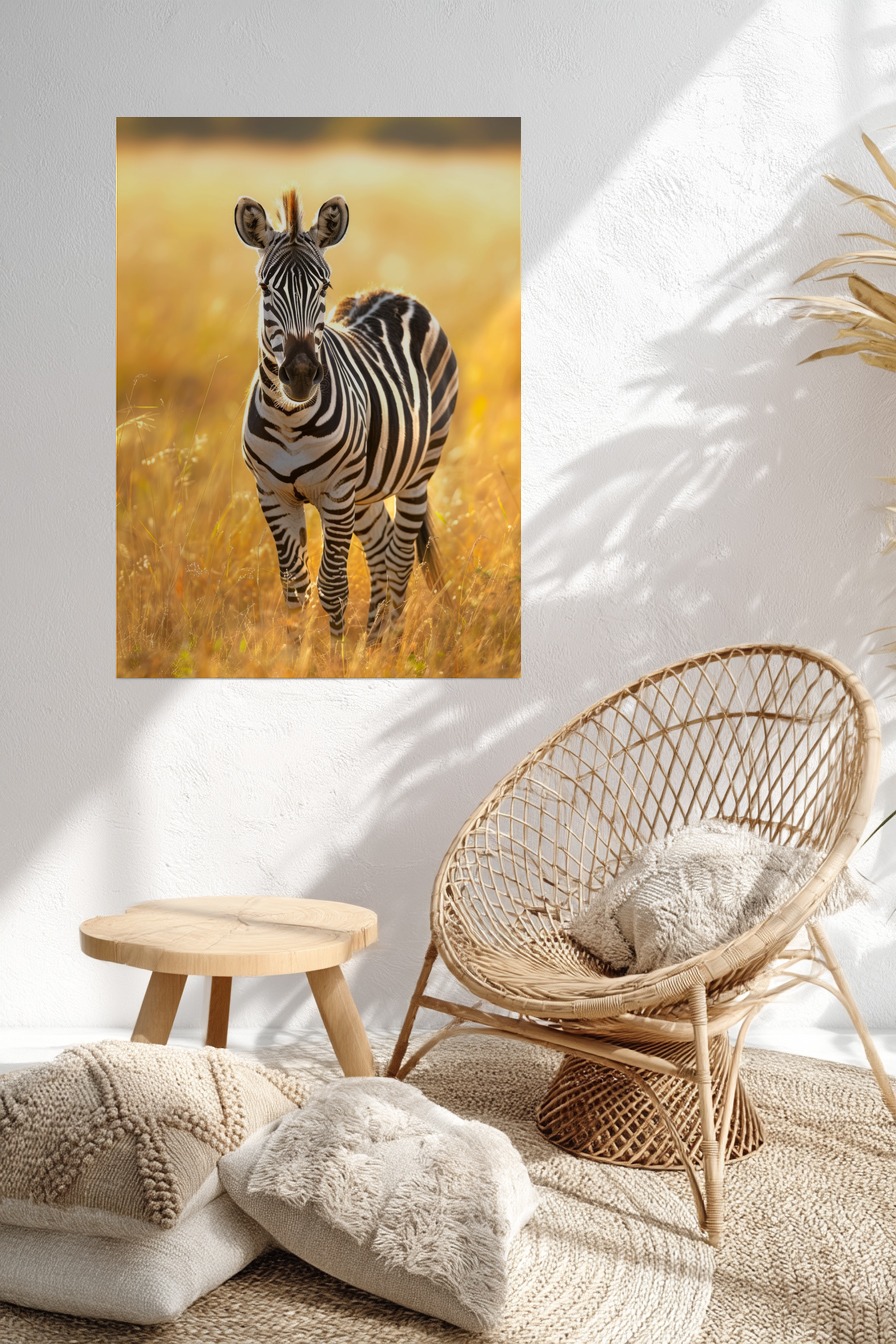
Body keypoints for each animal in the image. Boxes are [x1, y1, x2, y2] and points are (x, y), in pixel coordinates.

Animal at [234, 188, 459, 645]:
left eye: (324, 286)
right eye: (265, 288)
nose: (302, 374)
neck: (290, 422)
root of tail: (392, 291)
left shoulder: (337, 494)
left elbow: (333, 585)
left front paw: (335, 654)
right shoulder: (272, 494)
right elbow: (294, 588)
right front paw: (296, 653)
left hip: (417, 472)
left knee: (400, 555)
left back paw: (390, 643)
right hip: (367, 487)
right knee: (381, 546)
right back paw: (371, 642)